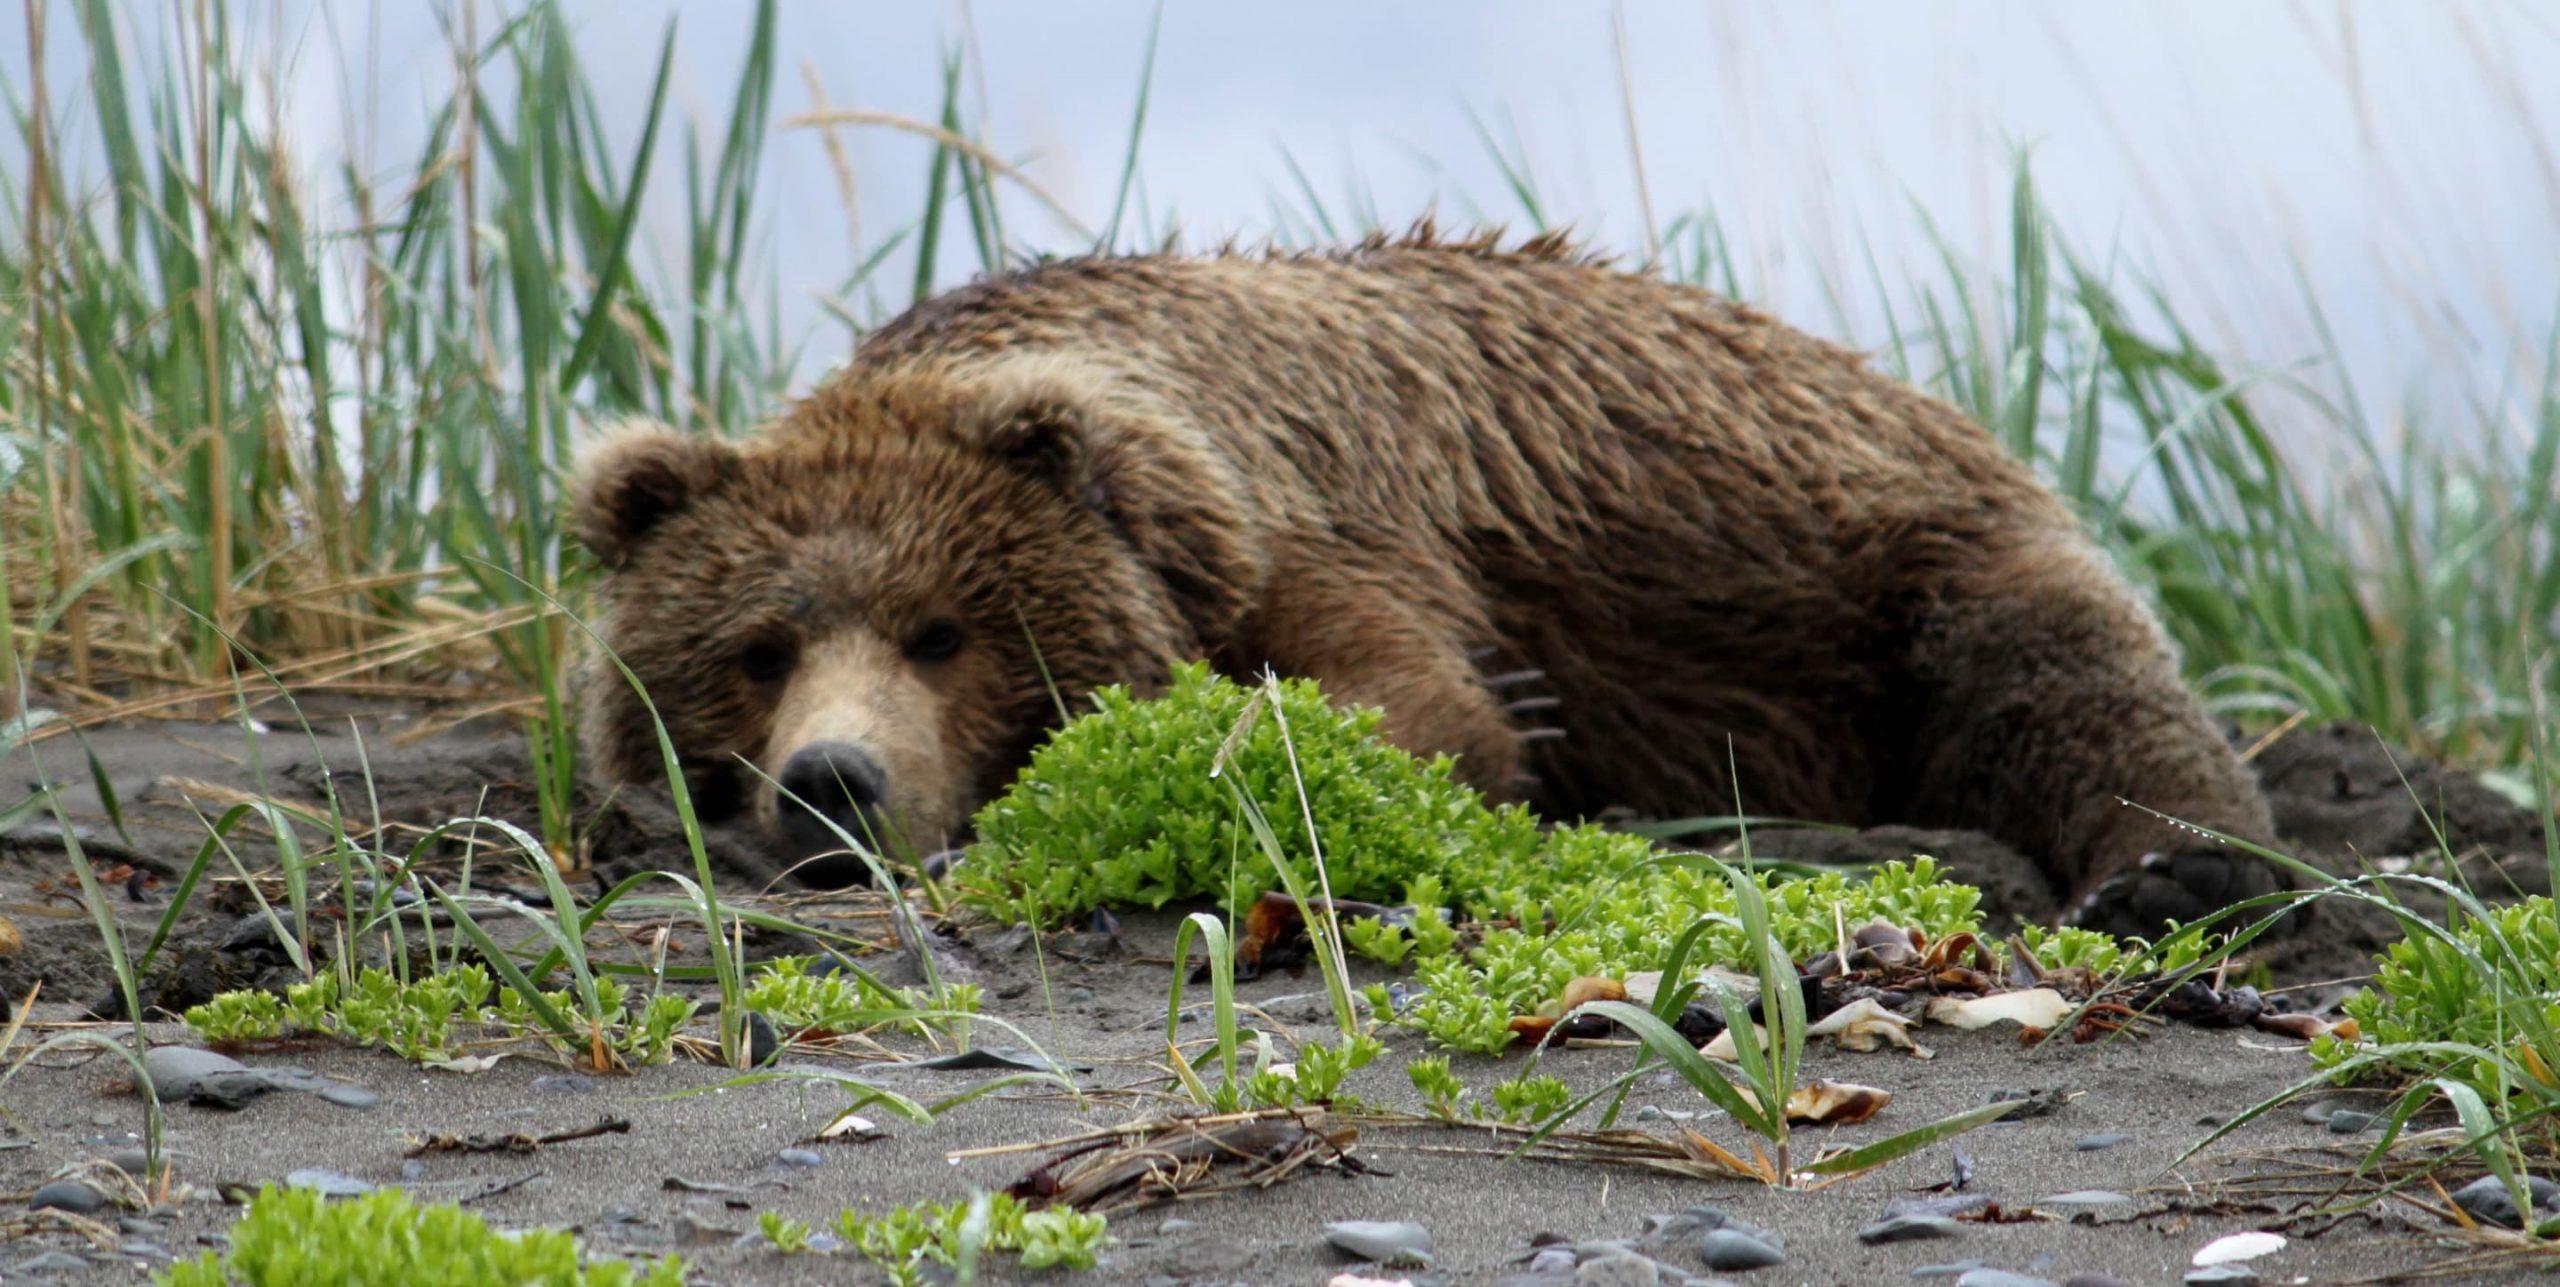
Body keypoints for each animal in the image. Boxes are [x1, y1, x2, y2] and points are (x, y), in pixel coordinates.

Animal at [576, 231, 2283, 931]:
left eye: (945, 633)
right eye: (759, 646)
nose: (832, 781)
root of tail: (1895, 380)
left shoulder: (1321, 515)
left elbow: (1400, 710)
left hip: (1896, 557)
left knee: (2061, 684)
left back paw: (2179, 870)